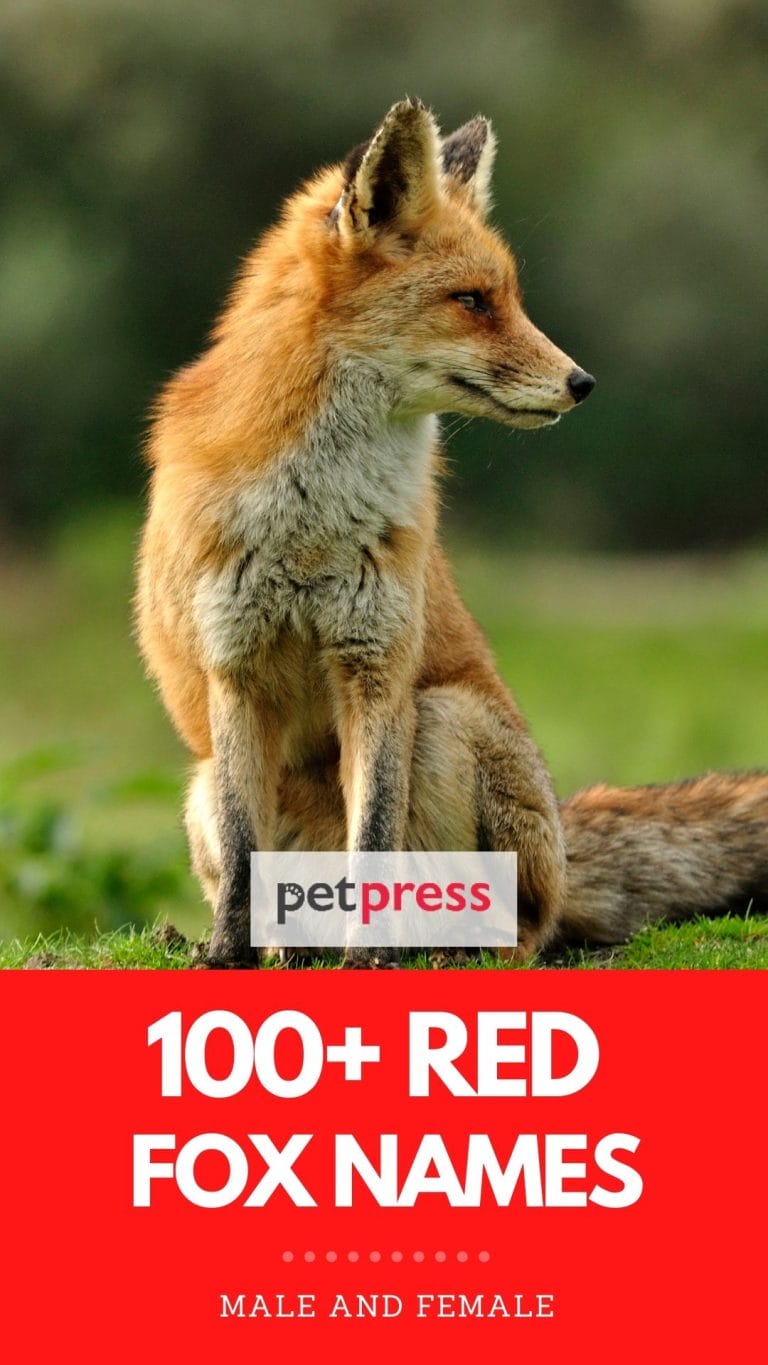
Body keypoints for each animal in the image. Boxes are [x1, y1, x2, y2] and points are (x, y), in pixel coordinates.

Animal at [136, 98, 768, 967]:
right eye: (473, 300)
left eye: (511, 297)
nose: (582, 382)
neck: (310, 526)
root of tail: (562, 842)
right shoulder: (235, 669)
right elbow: (240, 849)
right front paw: (225, 956)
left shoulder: (378, 667)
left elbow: (374, 837)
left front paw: (365, 961)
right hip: (200, 783)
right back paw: (282, 949)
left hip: (445, 724)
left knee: (520, 930)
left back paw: (436, 952)